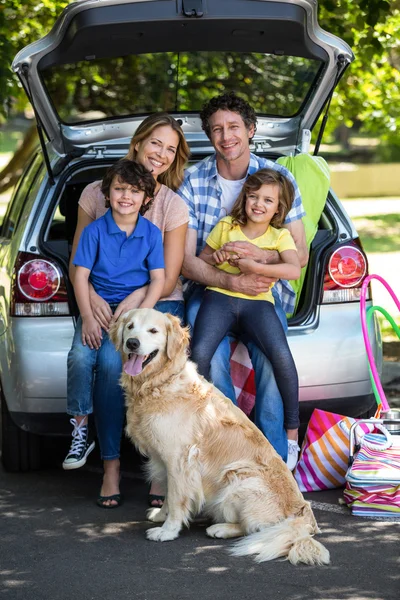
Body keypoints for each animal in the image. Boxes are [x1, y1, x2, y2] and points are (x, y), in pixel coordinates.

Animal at [108, 308, 328, 564]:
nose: (132, 343)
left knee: (255, 529)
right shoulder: (165, 459)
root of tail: (303, 518)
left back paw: (220, 529)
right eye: (130, 327)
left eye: (153, 331)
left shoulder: (179, 459)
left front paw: (168, 531)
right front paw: (161, 515)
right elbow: (167, 494)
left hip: (240, 478)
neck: (160, 382)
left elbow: (176, 497)